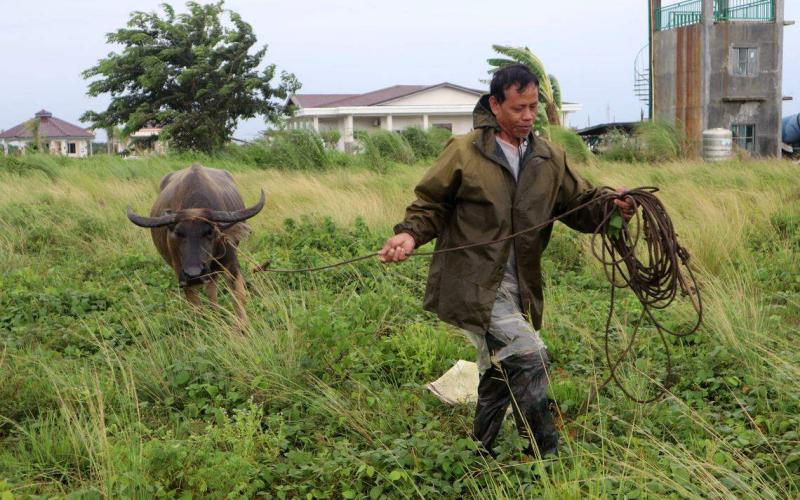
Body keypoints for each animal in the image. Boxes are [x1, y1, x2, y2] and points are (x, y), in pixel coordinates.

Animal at [127, 164, 266, 324]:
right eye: (178, 233)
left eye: (210, 232)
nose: (194, 275)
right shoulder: (181, 275)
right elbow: (196, 307)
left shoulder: (231, 264)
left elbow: (239, 297)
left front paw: (242, 326)